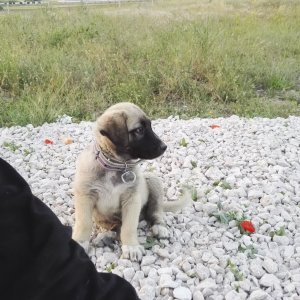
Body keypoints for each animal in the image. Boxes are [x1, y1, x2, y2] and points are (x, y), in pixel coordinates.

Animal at [72, 102, 188, 260]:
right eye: (139, 130)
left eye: (150, 126)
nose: (164, 147)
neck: (114, 165)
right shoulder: (85, 195)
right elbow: (84, 223)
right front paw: (80, 242)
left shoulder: (132, 199)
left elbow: (129, 227)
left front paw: (131, 247)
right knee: (114, 226)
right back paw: (107, 235)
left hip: (153, 181)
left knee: (156, 212)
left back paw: (159, 227)